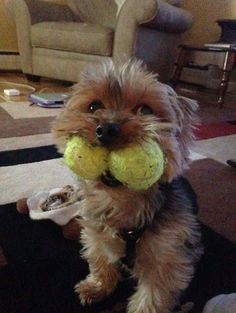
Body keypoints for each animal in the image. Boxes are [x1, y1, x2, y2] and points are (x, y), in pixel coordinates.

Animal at [52, 59, 202, 310]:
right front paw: (97, 286)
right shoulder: (97, 234)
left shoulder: (167, 253)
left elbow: (153, 296)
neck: (123, 205)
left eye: (145, 110)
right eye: (94, 106)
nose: (106, 129)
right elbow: (101, 259)